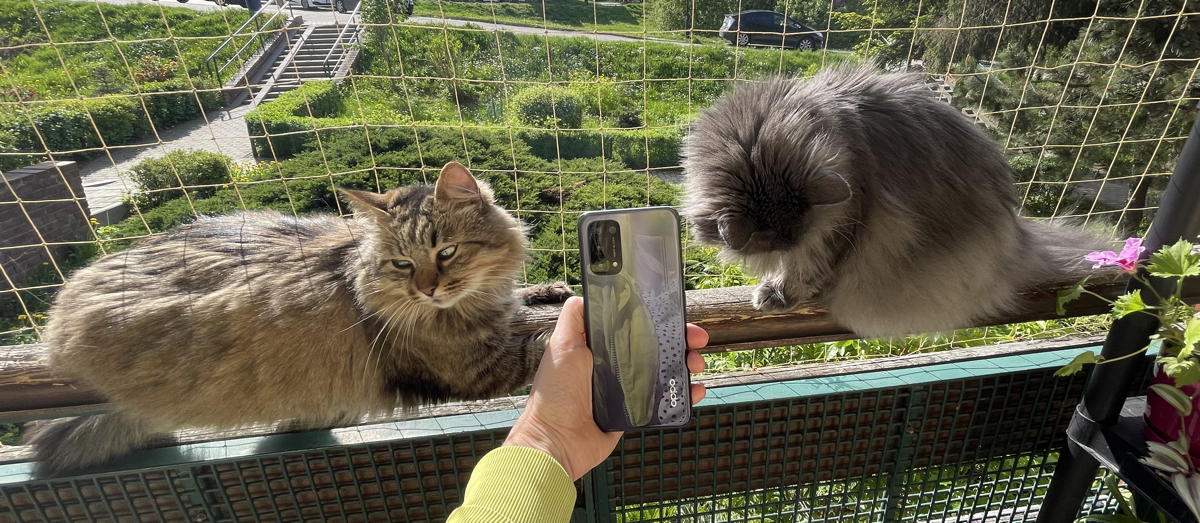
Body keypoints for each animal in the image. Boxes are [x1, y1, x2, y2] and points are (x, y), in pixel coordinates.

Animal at [27, 161, 571, 475]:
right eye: (402, 263)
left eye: (448, 252)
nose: (426, 290)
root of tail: (59, 317)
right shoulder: (472, 367)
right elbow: (539, 346)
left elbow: (522, 305)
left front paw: (549, 290)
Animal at [681, 66, 1108, 335]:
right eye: (770, 237)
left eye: (791, 233)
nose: (788, 243)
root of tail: (1018, 240)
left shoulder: (842, 224)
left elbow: (806, 272)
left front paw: (777, 293)